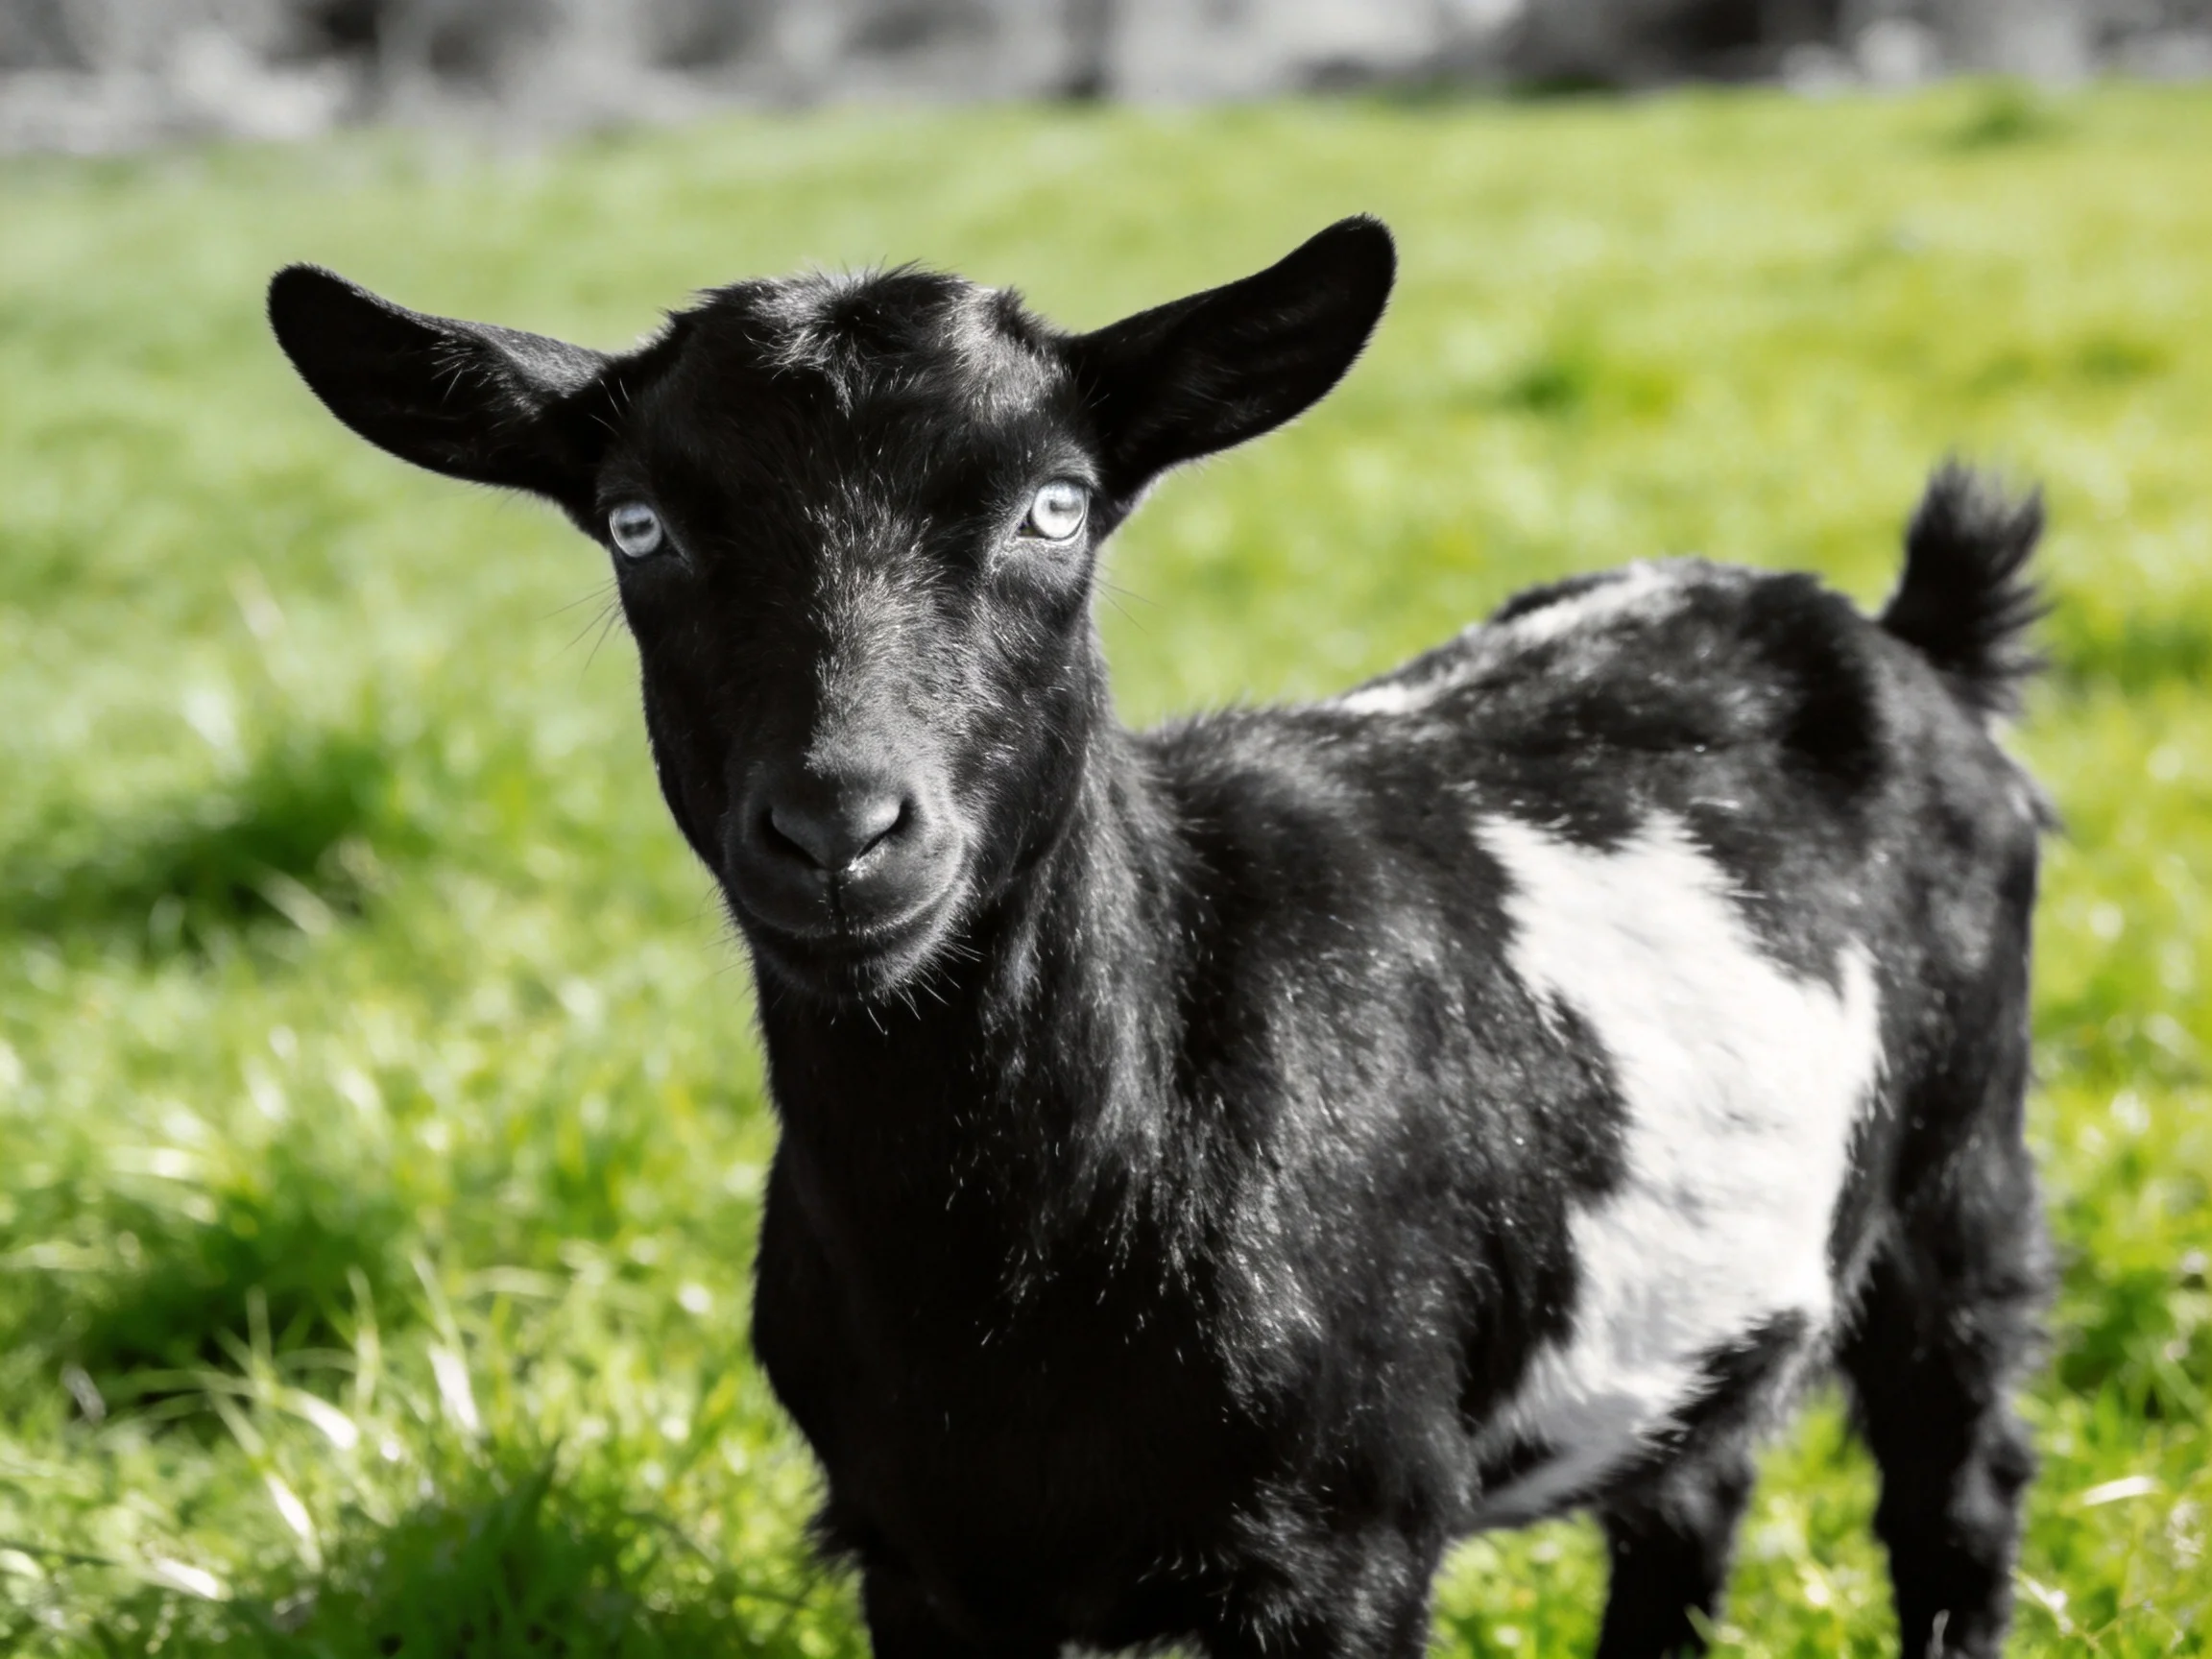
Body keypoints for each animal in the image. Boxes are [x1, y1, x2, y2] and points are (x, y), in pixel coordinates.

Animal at [269, 217, 2050, 1659]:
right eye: (639, 525)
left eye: (1054, 508)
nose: (840, 828)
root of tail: (1894, 629)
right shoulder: (918, 1560)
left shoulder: (1344, 1543)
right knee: (1687, 1498)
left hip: (1962, 1169)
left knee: (1953, 1491)